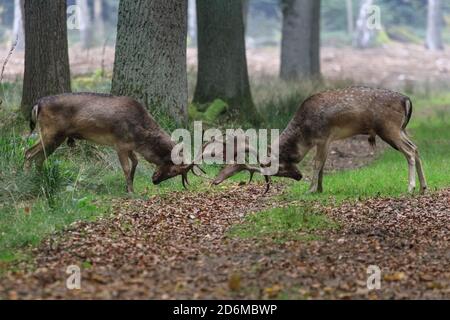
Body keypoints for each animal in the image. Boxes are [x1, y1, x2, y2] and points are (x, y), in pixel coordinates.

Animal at [25, 92, 205, 192]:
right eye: (174, 171)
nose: (155, 181)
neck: (140, 137)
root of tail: (37, 105)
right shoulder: (119, 143)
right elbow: (126, 167)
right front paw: (131, 191)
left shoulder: (130, 146)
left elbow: (135, 162)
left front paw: (129, 186)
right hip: (51, 132)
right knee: (28, 153)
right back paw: (28, 178)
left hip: (57, 137)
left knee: (40, 157)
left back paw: (40, 179)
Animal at [213, 86, 428, 194]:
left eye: (280, 168)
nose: (298, 176)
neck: (305, 133)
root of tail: (406, 100)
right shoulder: (327, 140)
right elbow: (323, 164)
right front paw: (320, 189)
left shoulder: (324, 136)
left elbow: (317, 163)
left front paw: (310, 189)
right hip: (400, 129)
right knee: (416, 148)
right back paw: (424, 187)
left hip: (389, 128)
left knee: (409, 151)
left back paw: (411, 187)